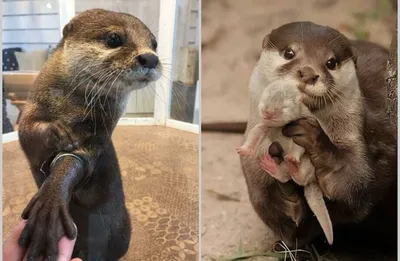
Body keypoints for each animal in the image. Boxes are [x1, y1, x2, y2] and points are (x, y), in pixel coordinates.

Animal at [17, 8, 161, 260]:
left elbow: (79, 160)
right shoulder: (32, 111)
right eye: (114, 38)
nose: (151, 58)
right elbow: (28, 134)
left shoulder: (99, 132)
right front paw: (58, 132)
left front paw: (50, 201)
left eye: (154, 44)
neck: (68, 107)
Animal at [238, 22, 396, 254]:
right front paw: (285, 189)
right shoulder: (253, 170)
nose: (308, 73)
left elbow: (356, 184)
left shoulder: (363, 138)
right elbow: (273, 212)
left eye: (331, 62)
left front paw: (315, 139)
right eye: (289, 53)